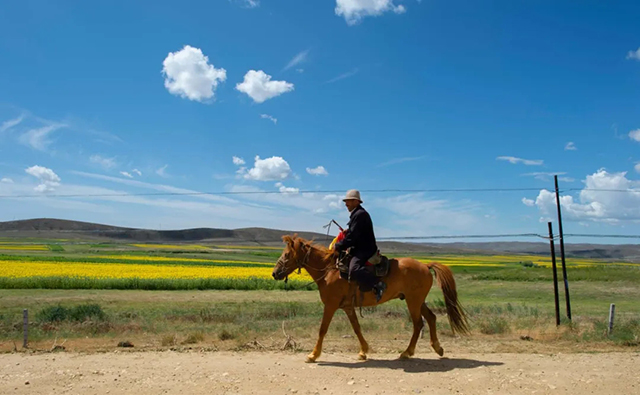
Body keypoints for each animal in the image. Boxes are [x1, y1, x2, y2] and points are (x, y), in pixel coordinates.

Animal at [272, 235, 470, 366]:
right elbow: (357, 328)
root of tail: (425, 265)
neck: (329, 270)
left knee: (418, 324)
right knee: (431, 318)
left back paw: (407, 352)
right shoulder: (347, 307)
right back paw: (437, 348)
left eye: (287, 255)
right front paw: (363, 351)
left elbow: (322, 330)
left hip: (413, 302)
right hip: (418, 301)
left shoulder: (331, 305)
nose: (275, 273)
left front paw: (313, 355)